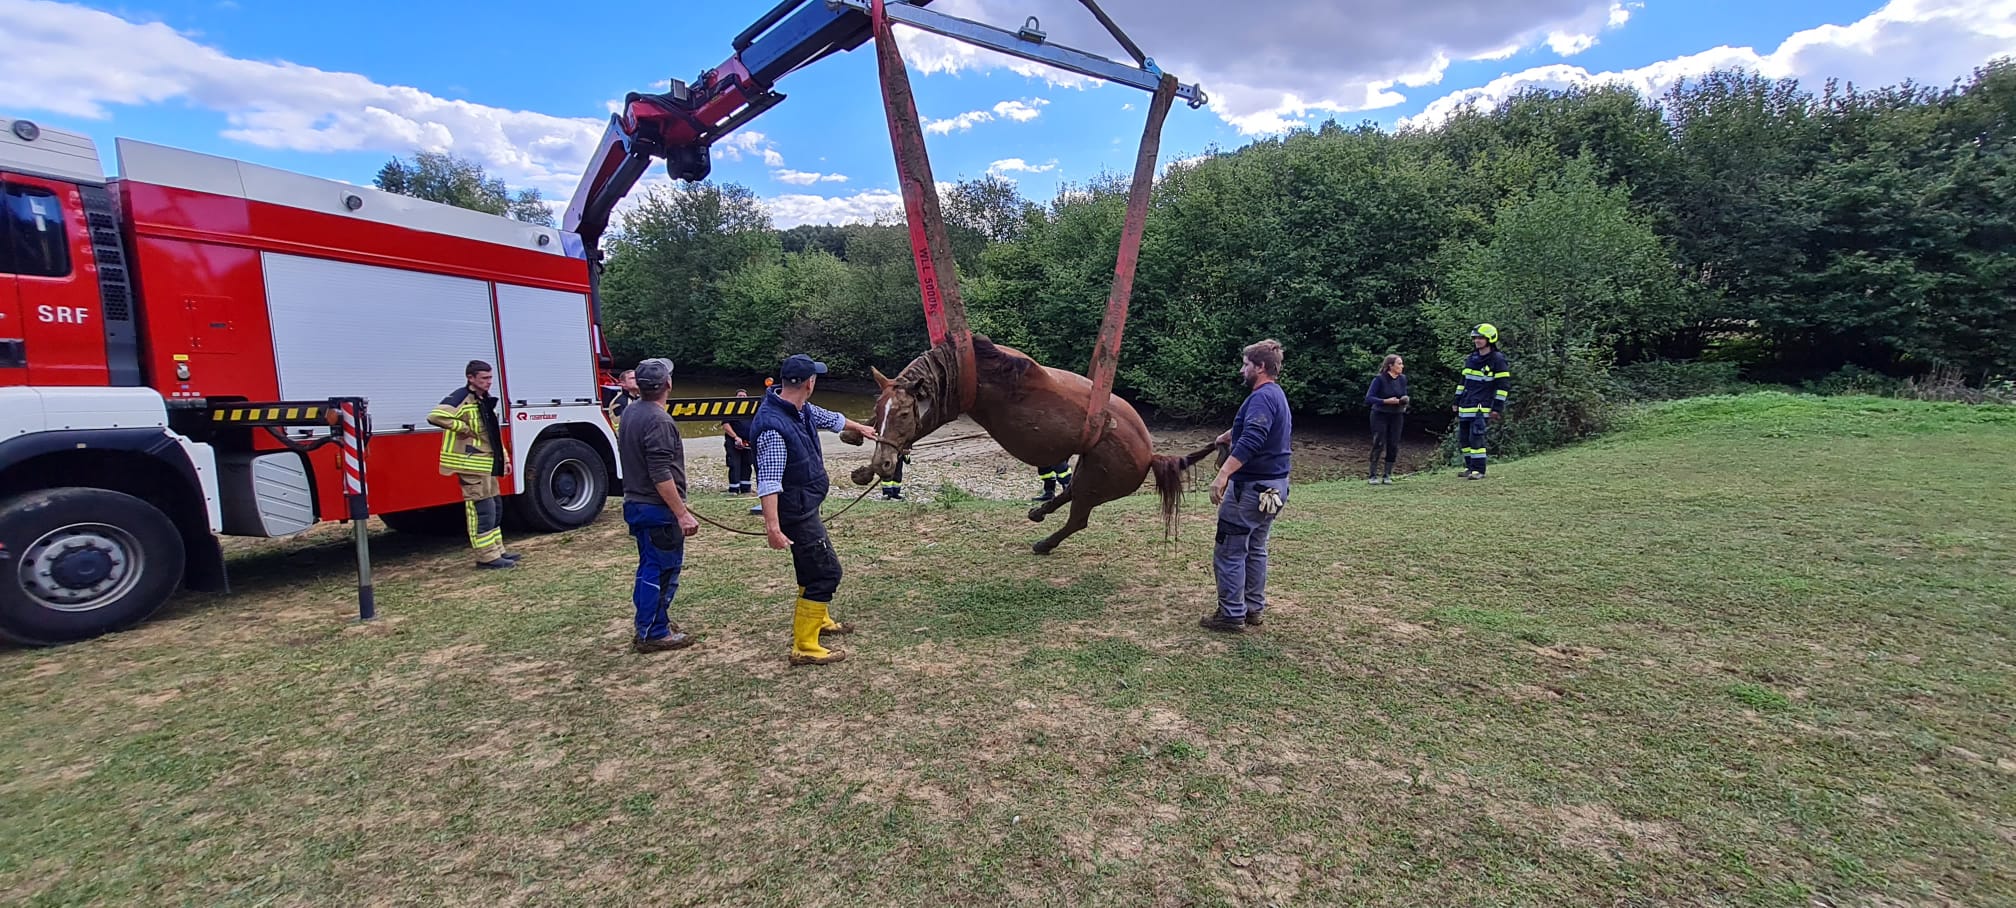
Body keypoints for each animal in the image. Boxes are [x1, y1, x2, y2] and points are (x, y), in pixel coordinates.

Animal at [846, 334, 1217, 552]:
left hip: (1096, 484)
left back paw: (1044, 543)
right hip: (1088, 473)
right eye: (877, 410)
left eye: (903, 414)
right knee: (1069, 491)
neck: (979, 372)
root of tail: (1150, 454)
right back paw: (1039, 512)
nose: (882, 464)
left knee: (1078, 517)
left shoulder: (950, 405)